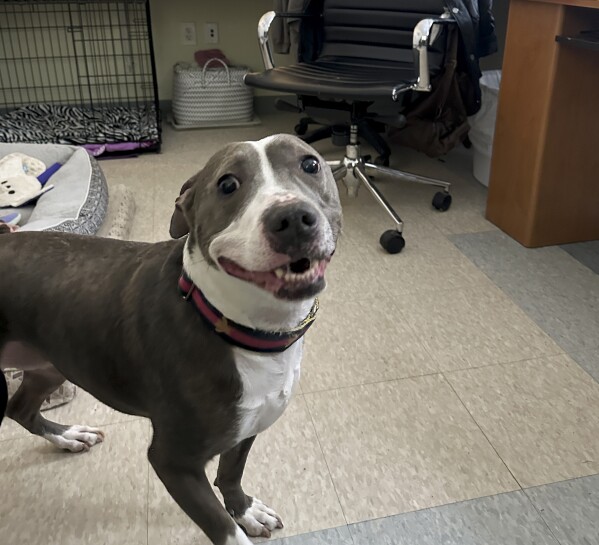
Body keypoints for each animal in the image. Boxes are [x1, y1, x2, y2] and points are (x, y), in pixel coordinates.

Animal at [0, 135, 342, 544]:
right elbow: (224, 529)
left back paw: (69, 436)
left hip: (51, 364)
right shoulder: (173, 463)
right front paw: (236, 520)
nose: (291, 218)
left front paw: (245, 509)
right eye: (228, 184)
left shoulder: (247, 427)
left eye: (311, 164)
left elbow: (231, 474)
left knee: (20, 409)